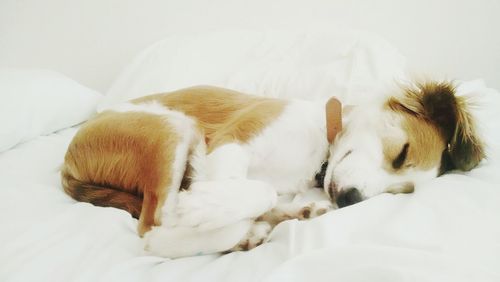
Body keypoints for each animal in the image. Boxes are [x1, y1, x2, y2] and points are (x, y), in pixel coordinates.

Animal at [59, 80, 484, 256]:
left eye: (399, 192)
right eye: (401, 153)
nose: (351, 199)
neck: (317, 155)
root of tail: (68, 159)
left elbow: (258, 198)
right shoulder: (231, 144)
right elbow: (248, 194)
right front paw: (208, 211)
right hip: (171, 130)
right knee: (153, 228)